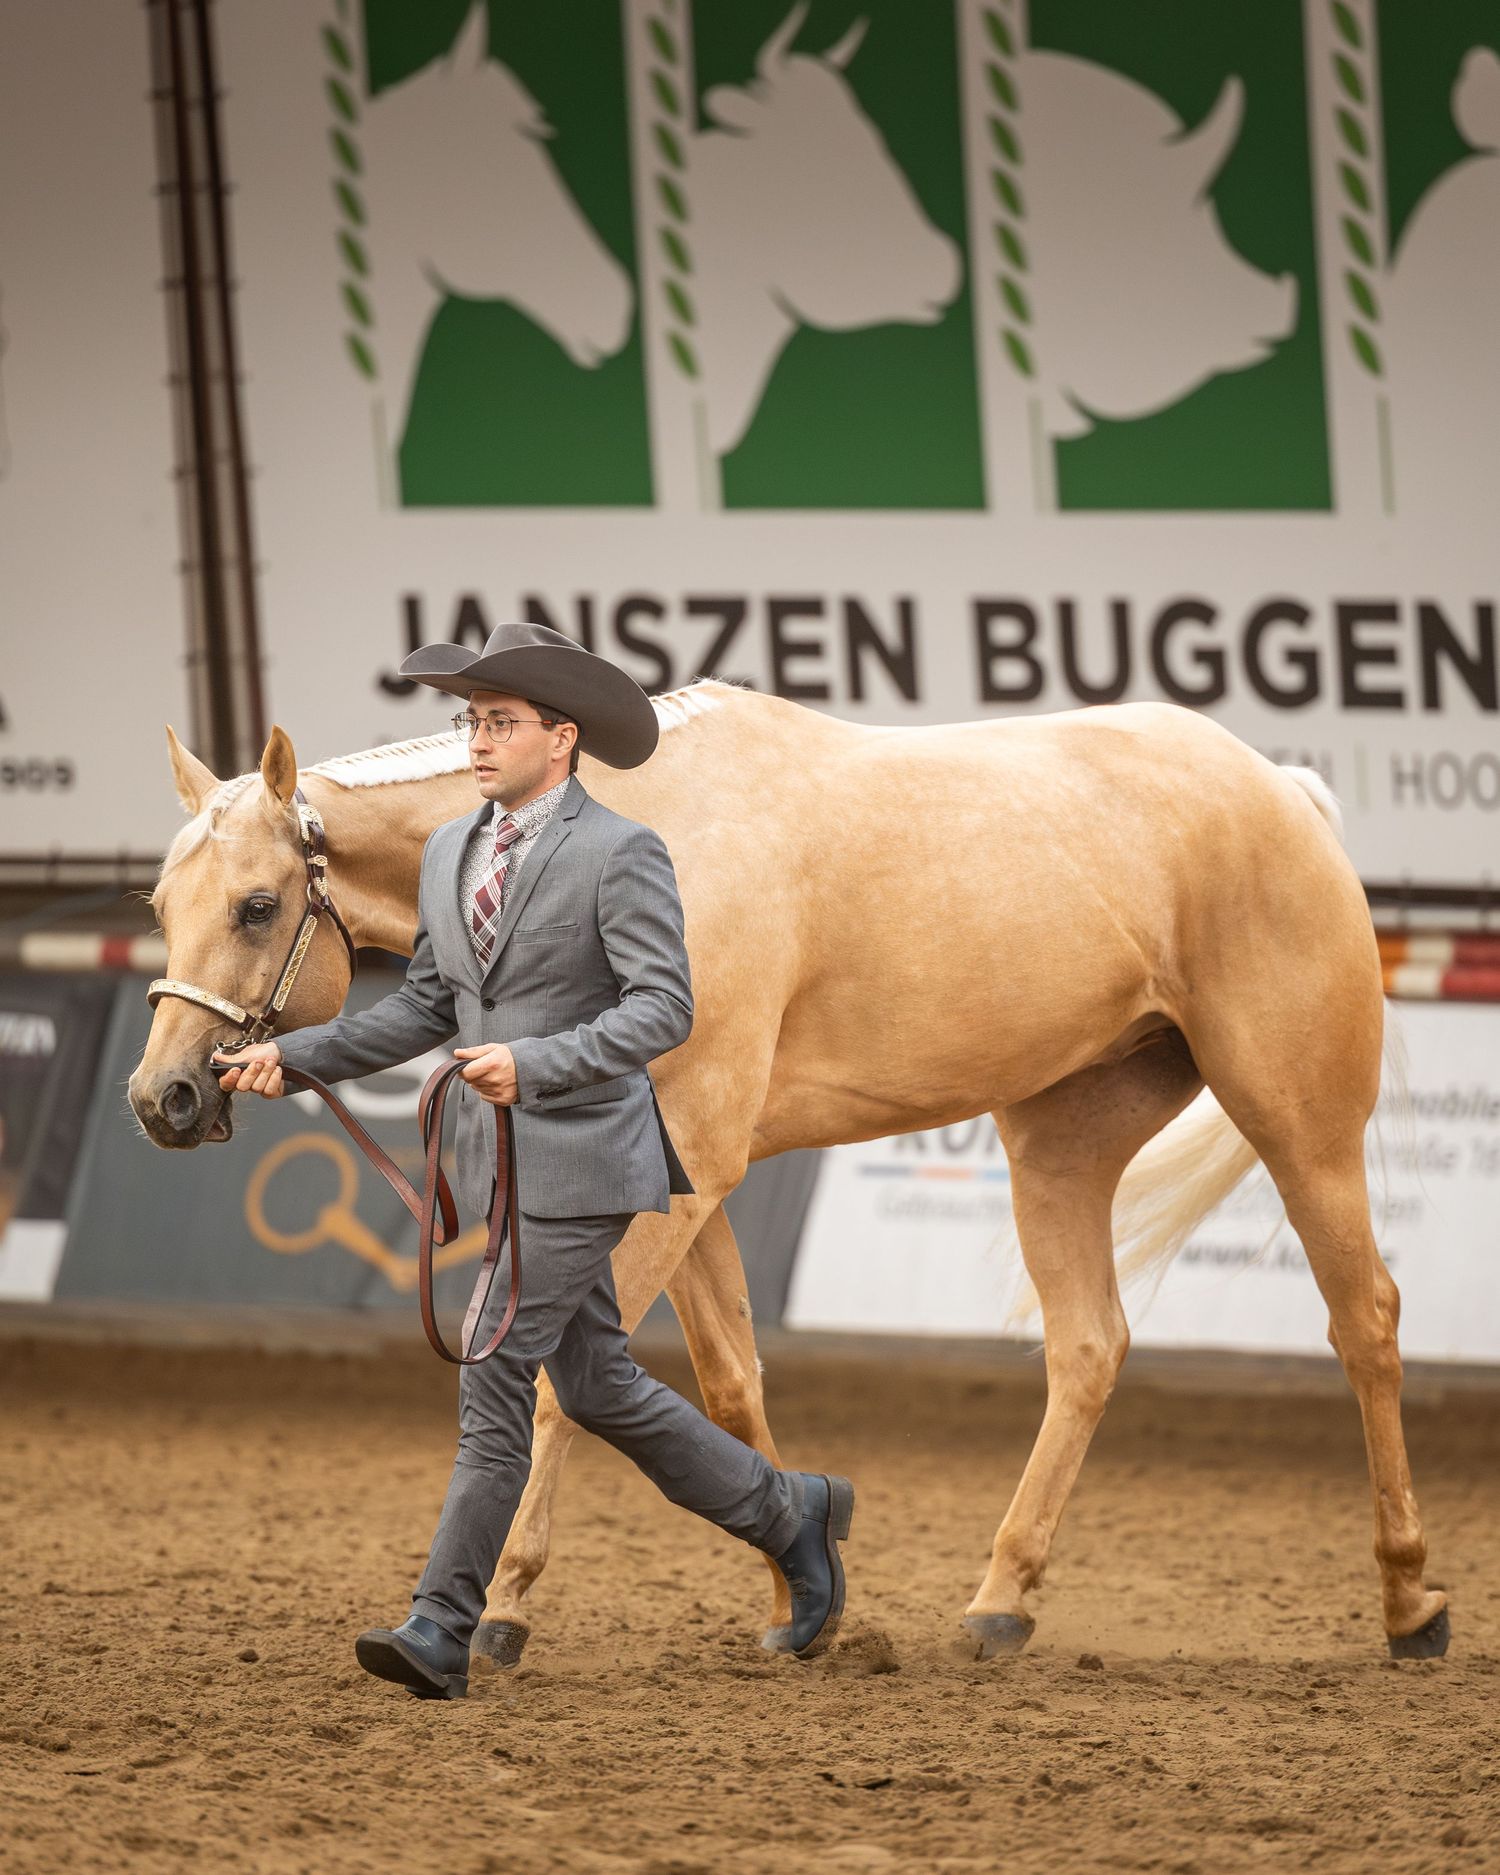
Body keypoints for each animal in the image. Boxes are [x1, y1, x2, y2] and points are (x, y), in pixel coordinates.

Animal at [129, 678, 1450, 1666]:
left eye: (258, 906)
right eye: (158, 901)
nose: (164, 1098)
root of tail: (1280, 789)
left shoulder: (686, 1163)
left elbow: (560, 1385)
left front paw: (497, 1611)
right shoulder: (683, 1176)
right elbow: (725, 1391)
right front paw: (797, 1594)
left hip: (1298, 1121)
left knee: (1367, 1320)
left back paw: (1410, 1606)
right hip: (1059, 1141)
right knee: (1088, 1346)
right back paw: (999, 1603)